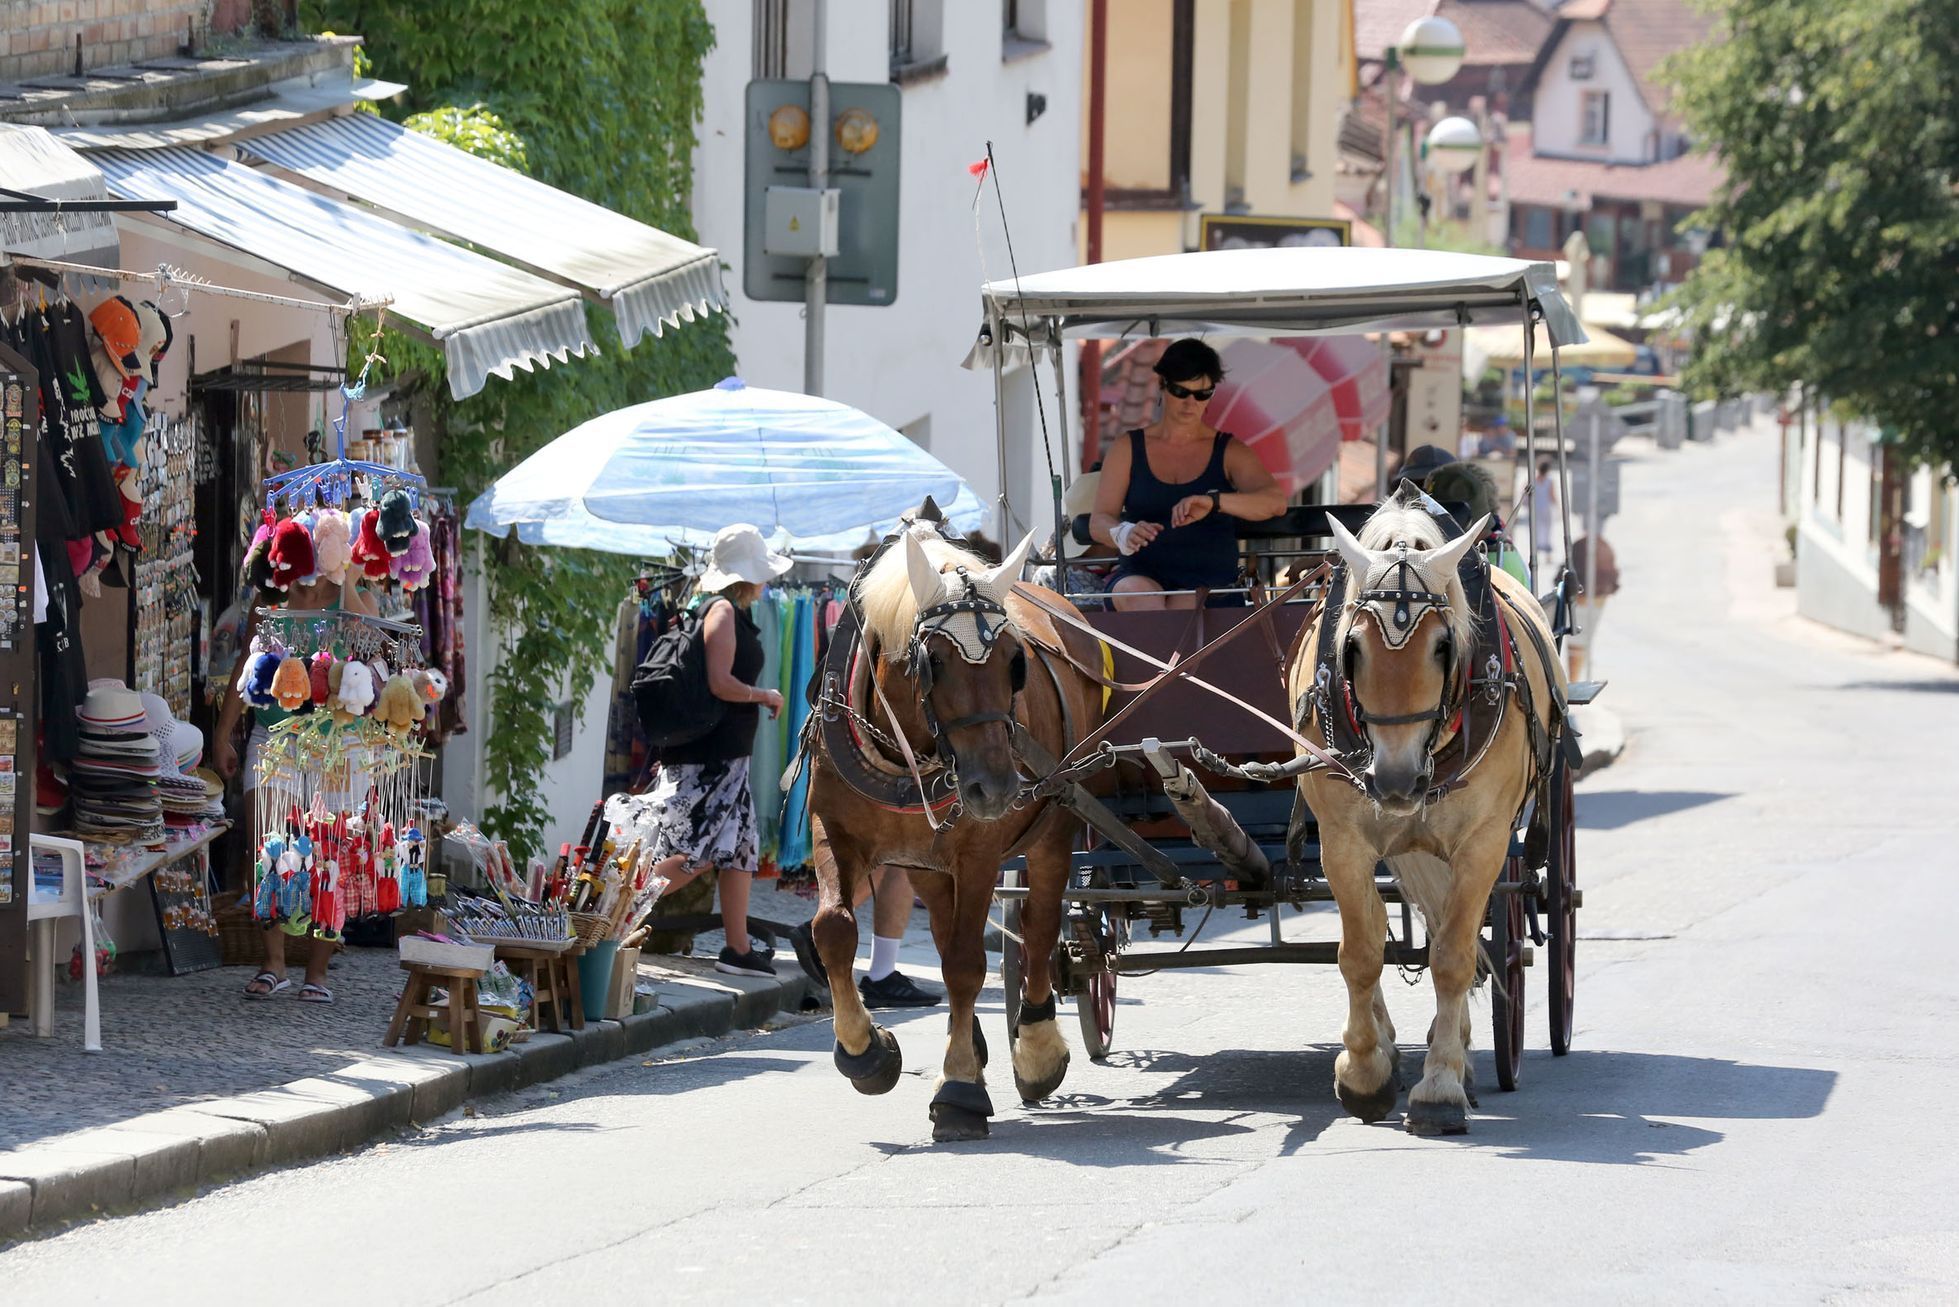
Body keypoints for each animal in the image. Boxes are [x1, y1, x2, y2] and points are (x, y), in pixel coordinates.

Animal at [803, 525, 1112, 1144]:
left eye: (1016, 662)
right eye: (933, 661)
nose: (994, 788)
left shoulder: (979, 851)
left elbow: (970, 962)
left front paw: (960, 1092)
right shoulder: (835, 828)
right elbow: (835, 929)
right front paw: (866, 1052)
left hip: (1054, 823)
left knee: (1040, 926)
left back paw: (1035, 1046)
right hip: (923, 862)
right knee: (947, 933)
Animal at [1292, 487, 1567, 1136]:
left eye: (1444, 647)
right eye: (1351, 647)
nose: (1395, 782)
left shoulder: (1484, 843)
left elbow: (1452, 957)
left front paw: (1440, 1085)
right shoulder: (1342, 841)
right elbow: (1360, 951)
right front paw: (1364, 1072)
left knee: (1460, 936)